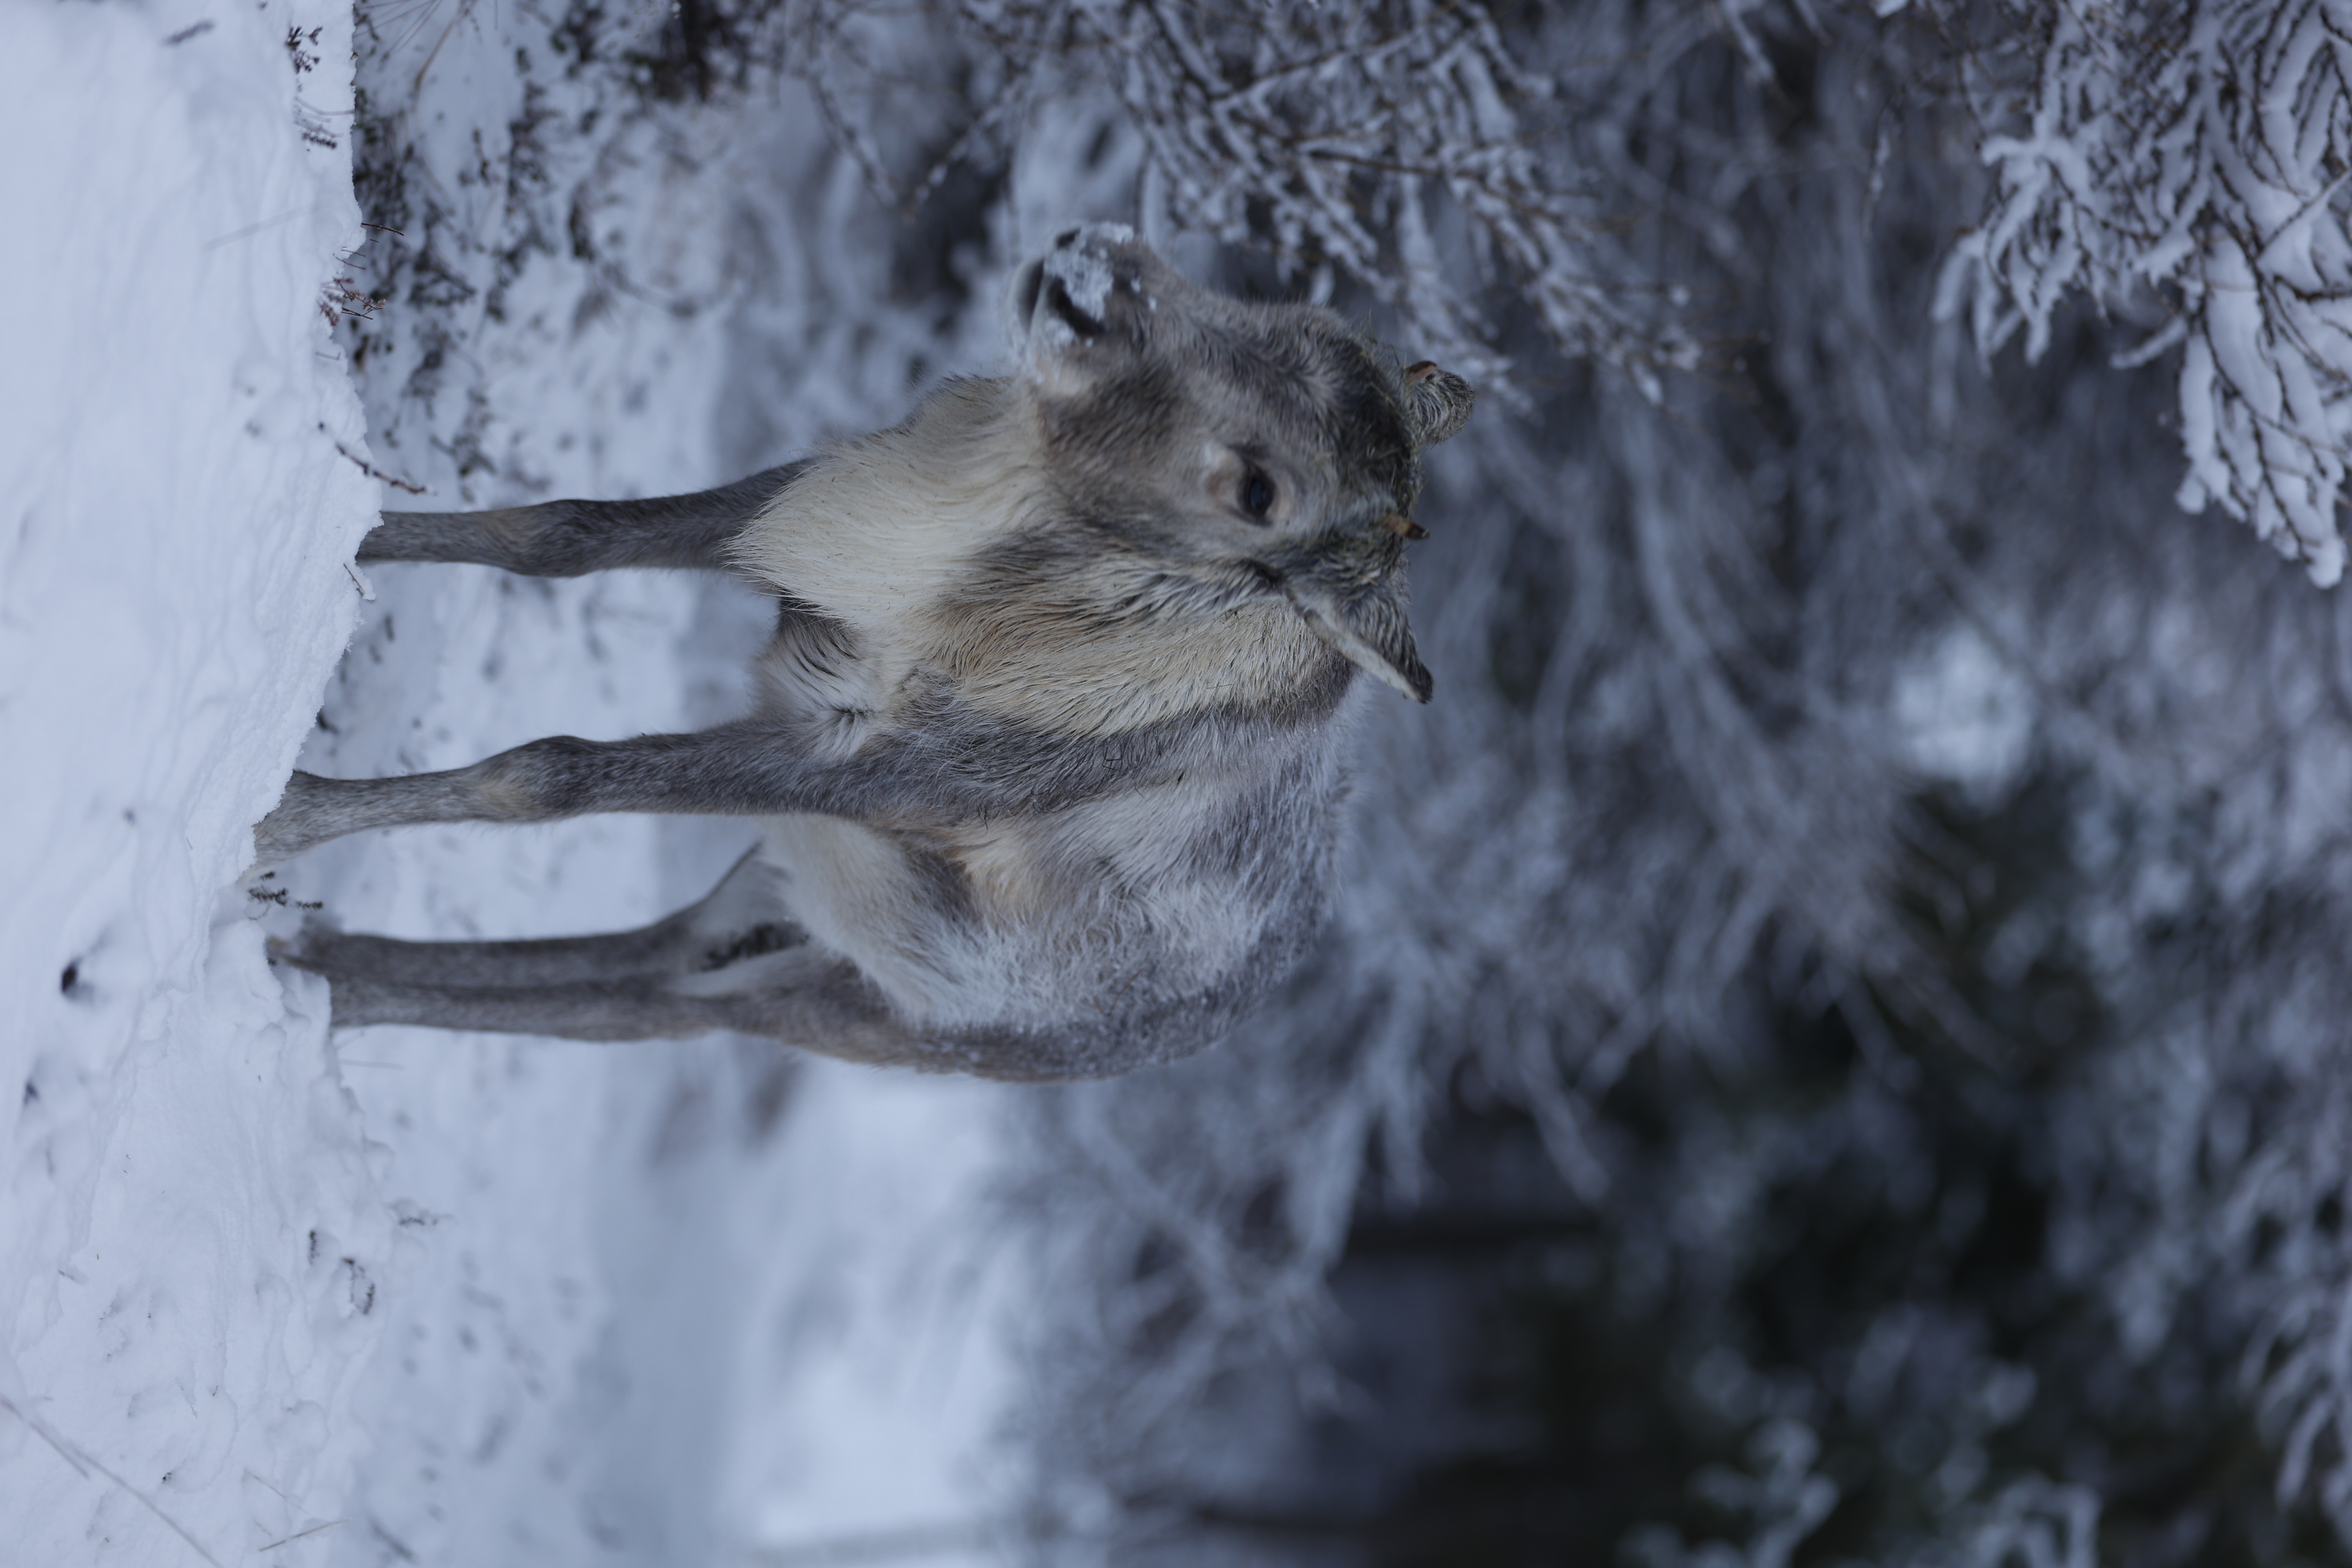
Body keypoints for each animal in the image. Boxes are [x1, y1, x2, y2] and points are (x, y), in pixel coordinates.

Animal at [257, 224, 1473, 1080]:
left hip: (855, 998)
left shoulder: (867, 765)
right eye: (1288, 310)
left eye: (1260, 491)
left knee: (645, 1009)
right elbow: (553, 532)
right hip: (775, 892)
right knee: (646, 965)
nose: (1093, 276)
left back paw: (307, 981)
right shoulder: (797, 547)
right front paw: (345, 528)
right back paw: (308, 965)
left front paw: (283, 815)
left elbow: (540, 774)